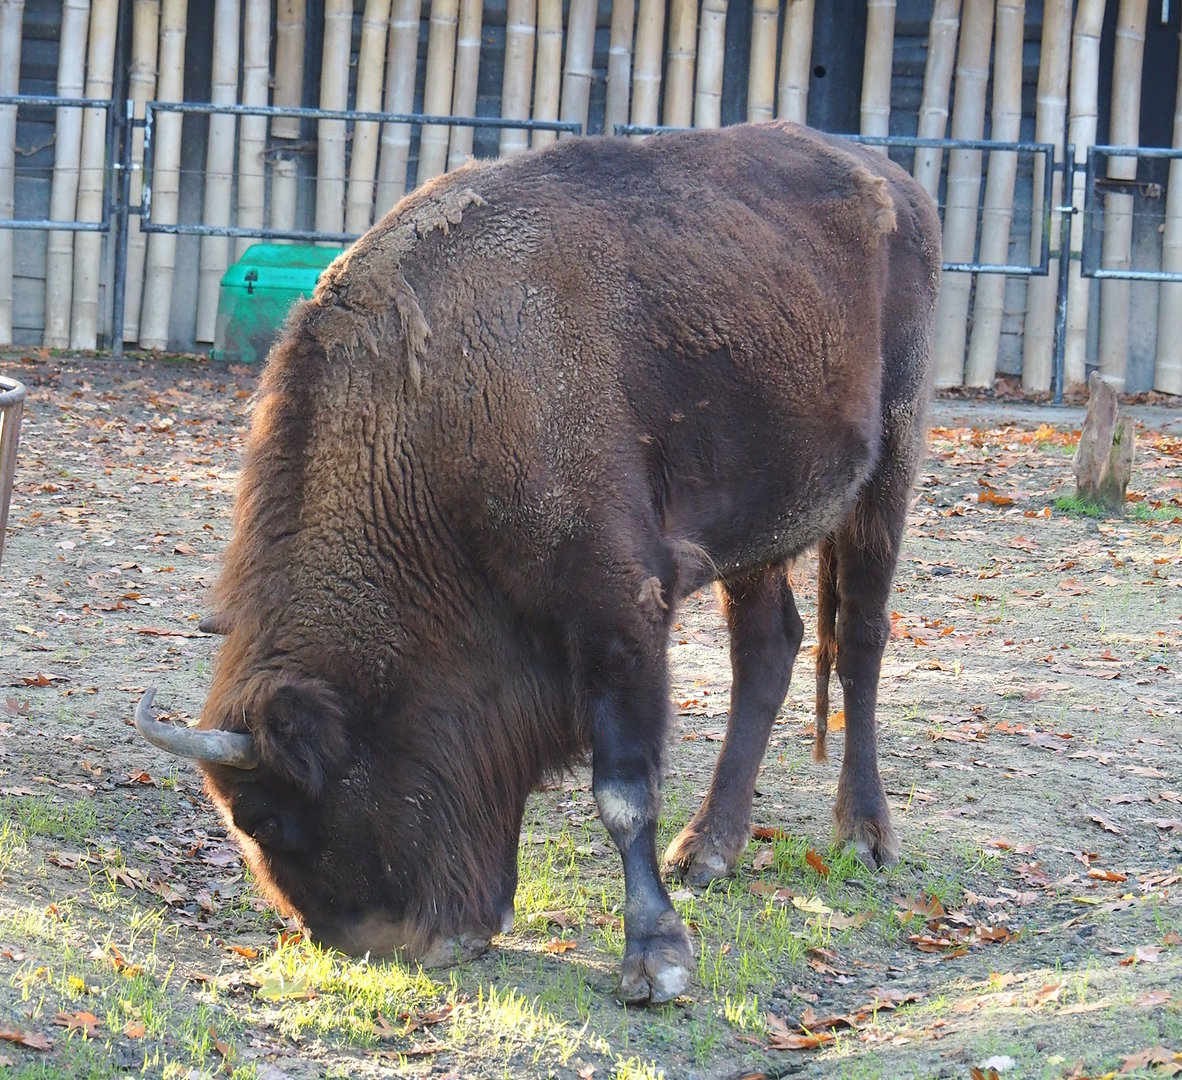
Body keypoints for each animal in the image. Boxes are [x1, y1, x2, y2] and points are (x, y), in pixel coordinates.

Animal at [137, 121, 941, 1004]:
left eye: (270, 815)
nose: (387, 944)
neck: (433, 422)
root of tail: (894, 178)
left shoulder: (618, 611)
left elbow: (622, 789)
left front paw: (655, 961)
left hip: (889, 467)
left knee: (860, 637)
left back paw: (864, 836)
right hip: (758, 527)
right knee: (768, 648)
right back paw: (707, 850)